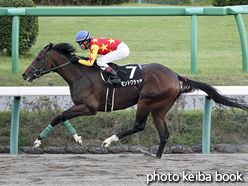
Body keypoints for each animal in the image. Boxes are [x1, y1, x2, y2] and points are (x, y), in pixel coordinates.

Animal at [22, 42, 247, 158]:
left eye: (38, 58)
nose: (25, 75)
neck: (80, 74)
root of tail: (175, 75)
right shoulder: (80, 105)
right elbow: (62, 116)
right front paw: (76, 138)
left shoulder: (89, 107)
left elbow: (59, 116)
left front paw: (38, 142)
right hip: (160, 107)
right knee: (164, 134)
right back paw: (157, 158)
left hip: (147, 101)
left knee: (139, 125)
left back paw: (108, 140)